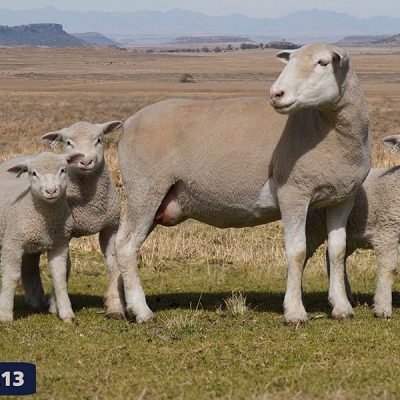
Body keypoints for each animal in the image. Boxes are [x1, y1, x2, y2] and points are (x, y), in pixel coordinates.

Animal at [114, 43, 370, 324]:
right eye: (289, 61)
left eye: (323, 63)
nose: (276, 94)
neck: (324, 127)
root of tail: (129, 122)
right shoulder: (293, 192)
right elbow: (297, 252)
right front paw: (294, 312)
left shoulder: (343, 197)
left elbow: (337, 251)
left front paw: (342, 307)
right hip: (144, 188)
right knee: (125, 246)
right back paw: (142, 311)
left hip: (156, 198)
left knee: (121, 245)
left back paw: (117, 307)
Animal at [306, 134, 400, 318]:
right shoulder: (387, 230)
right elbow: (388, 269)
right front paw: (383, 309)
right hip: (312, 226)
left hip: (350, 233)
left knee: (334, 257)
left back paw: (345, 298)